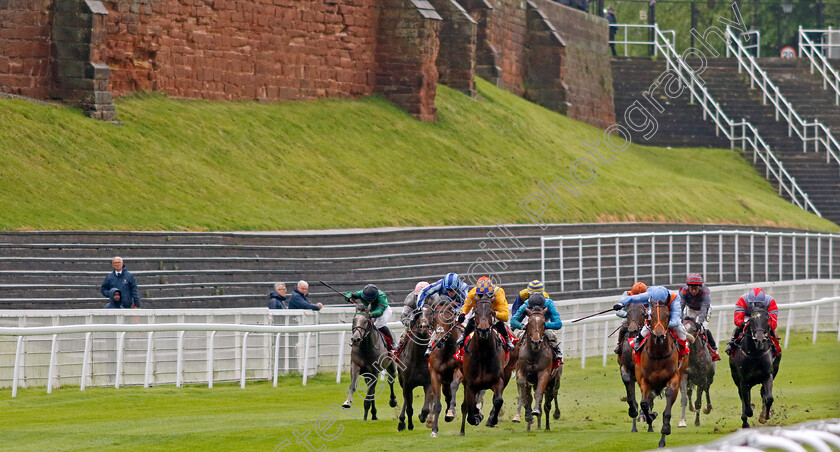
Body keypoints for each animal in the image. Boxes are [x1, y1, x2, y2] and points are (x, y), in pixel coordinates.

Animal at [426, 294, 466, 436]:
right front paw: (434, 430)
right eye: (434, 318)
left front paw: (451, 412)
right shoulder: (435, 375)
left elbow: (454, 385)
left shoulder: (459, 371)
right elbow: (437, 403)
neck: (446, 350)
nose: (440, 341)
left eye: (449, 318)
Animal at [460, 300, 506, 434]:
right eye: (476, 312)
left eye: (491, 312)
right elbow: (470, 410)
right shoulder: (470, 385)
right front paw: (476, 417)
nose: (483, 330)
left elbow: (498, 400)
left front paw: (492, 420)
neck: (483, 355)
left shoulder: (498, 380)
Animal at [636, 300, 688, 448]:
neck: (658, 353)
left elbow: (668, 405)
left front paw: (665, 429)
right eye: (651, 315)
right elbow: (644, 403)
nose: (658, 336)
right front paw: (651, 416)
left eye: (667, 315)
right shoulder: (644, 380)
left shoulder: (674, 378)